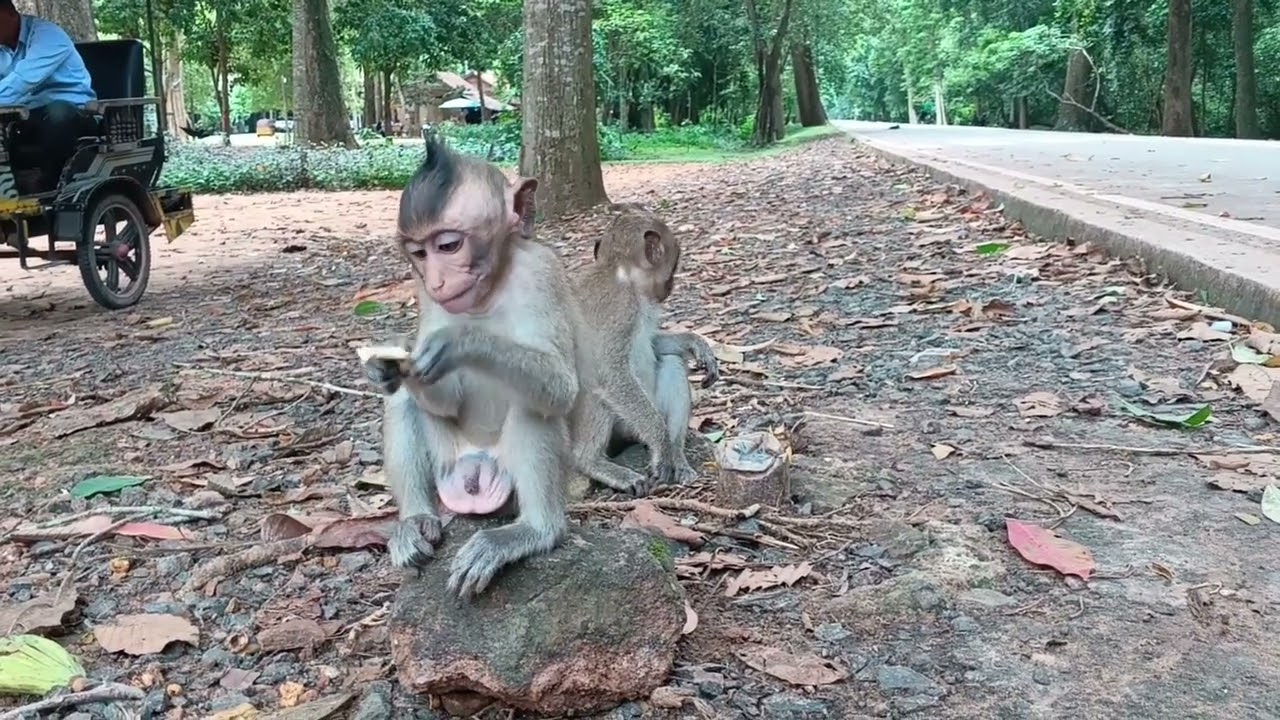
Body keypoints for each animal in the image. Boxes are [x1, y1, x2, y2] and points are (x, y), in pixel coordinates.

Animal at [360, 138, 590, 598]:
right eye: (419, 253)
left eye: (448, 246)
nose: (437, 281)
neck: (490, 292)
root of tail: (479, 469)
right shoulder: (424, 296)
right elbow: (442, 399)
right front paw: (389, 366)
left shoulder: (542, 272)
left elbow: (560, 387)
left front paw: (462, 341)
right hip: (449, 458)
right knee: (402, 404)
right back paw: (416, 521)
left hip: (509, 477)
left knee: (535, 405)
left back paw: (534, 531)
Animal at [570, 210, 720, 494]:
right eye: (673, 264)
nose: (669, 288)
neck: (620, 275)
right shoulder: (619, 308)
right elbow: (608, 372)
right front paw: (660, 445)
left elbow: (653, 343)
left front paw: (695, 343)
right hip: (620, 426)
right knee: (597, 387)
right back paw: (592, 462)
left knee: (672, 362)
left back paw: (677, 456)